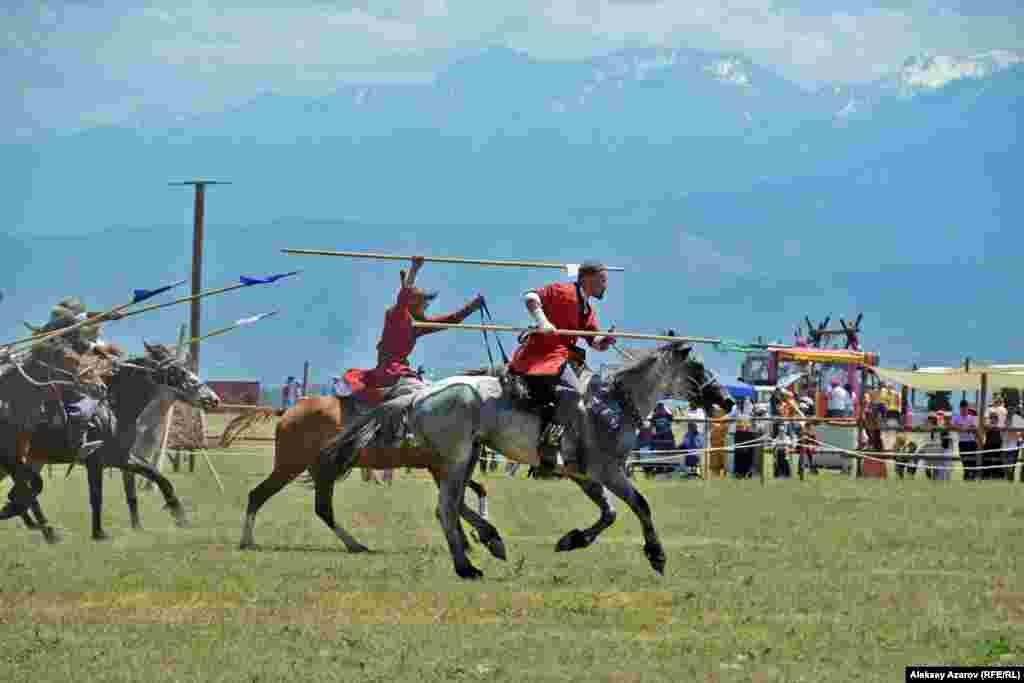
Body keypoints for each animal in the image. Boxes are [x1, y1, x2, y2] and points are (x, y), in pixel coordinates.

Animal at [1, 344, 218, 540]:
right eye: (176, 371)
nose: (212, 399)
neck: (114, 410)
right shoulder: (95, 462)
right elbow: (97, 497)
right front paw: (99, 533)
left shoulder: (123, 459)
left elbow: (157, 480)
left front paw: (179, 517)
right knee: (26, 492)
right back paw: (45, 530)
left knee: (23, 492)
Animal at [233, 395, 503, 561]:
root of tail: (288, 411)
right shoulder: (440, 468)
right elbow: (456, 504)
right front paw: (481, 536)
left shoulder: (443, 470)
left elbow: (468, 496)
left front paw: (474, 537)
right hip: (292, 466)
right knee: (261, 495)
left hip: (318, 470)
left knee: (318, 508)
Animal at [315, 339, 733, 581]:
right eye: (697, 367)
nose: (727, 400)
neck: (613, 405)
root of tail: (420, 394)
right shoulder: (608, 470)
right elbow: (640, 505)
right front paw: (656, 555)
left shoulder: (586, 475)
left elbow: (610, 513)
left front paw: (572, 539)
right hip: (457, 458)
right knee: (447, 508)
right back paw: (467, 567)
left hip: (463, 458)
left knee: (453, 505)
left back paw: (489, 541)